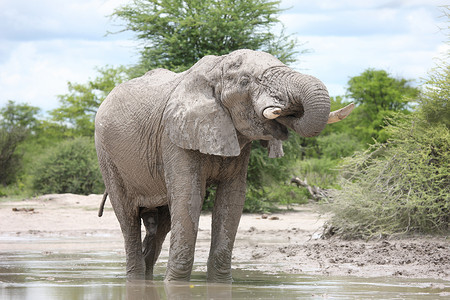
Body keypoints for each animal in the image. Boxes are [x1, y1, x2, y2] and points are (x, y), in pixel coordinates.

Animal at [95, 49, 354, 284]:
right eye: (245, 81)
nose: (286, 109)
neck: (214, 71)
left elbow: (231, 199)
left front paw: (220, 284)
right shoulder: (174, 136)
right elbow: (189, 196)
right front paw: (175, 285)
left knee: (161, 224)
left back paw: (147, 279)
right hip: (106, 155)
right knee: (127, 217)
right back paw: (136, 280)